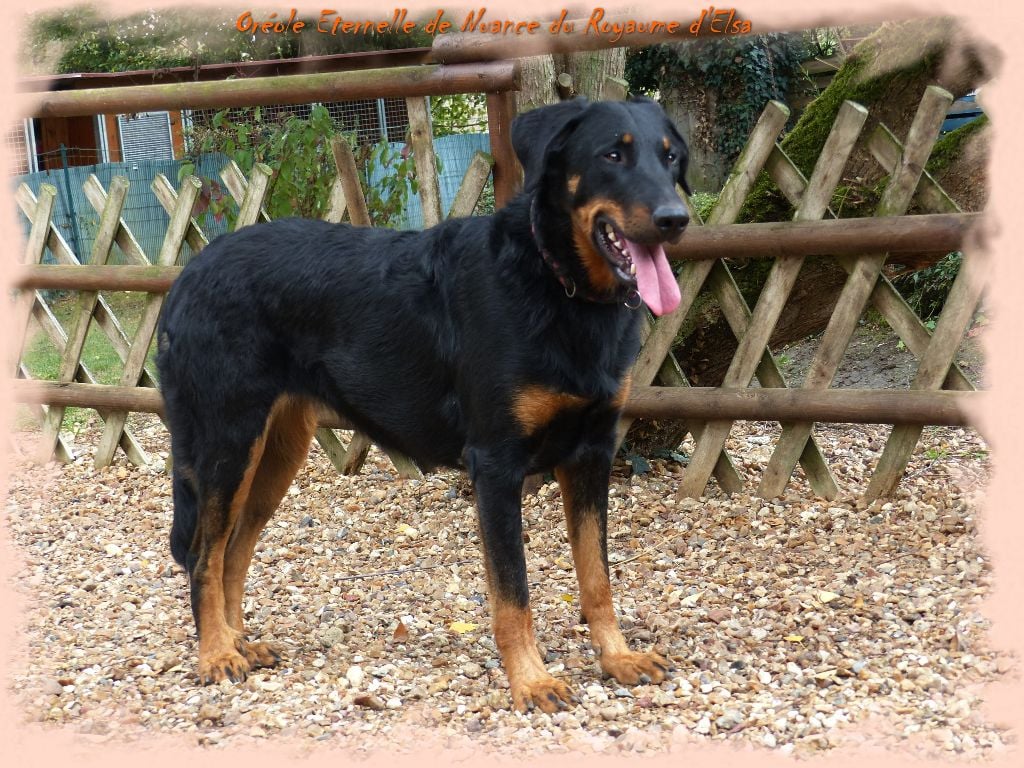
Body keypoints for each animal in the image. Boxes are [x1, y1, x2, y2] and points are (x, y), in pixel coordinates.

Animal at [157, 96, 690, 713]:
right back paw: (216, 653)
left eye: (670, 158)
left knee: (234, 550)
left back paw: (239, 640)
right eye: (612, 155)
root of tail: (187, 276)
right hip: (228, 443)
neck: (554, 282)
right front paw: (530, 680)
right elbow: (513, 592)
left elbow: (597, 577)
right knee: (205, 555)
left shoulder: (591, 455)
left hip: (275, 453)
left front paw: (617, 657)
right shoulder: (496, 467)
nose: (677, 219)